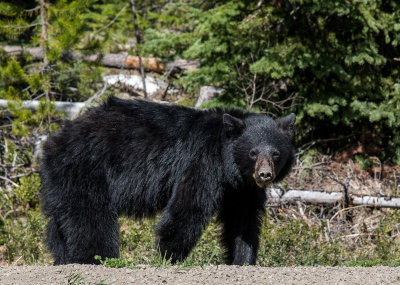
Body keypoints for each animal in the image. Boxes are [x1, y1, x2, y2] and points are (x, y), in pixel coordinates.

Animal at [40, 95, 296, 264]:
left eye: (276, 153)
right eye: (253, 152)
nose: (264, 174)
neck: (228, 164)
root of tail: (53, 141)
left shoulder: (242, 188)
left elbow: (243, 220)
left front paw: (242, 260)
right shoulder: (202, 161)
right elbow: (189, 207)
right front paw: (168, 256)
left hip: (59, 181)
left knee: (58, 225)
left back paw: (64, 259)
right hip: (85, 168)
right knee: (90, 217)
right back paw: (97, 258)